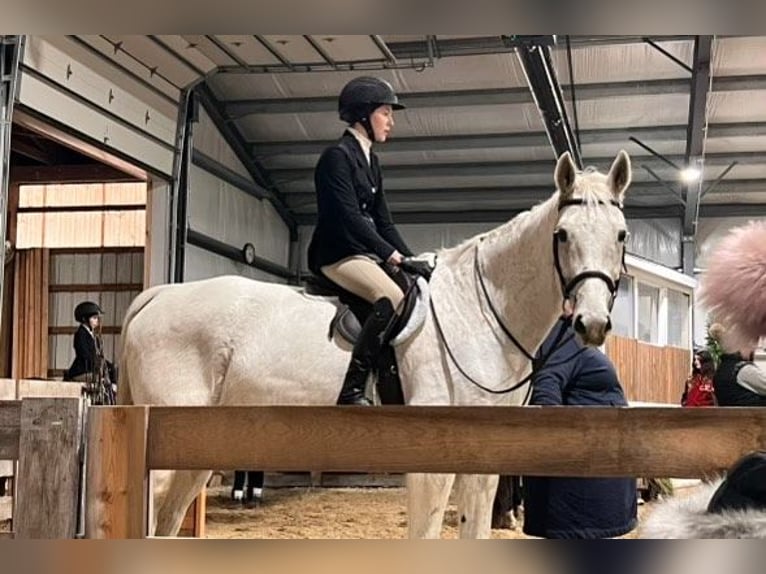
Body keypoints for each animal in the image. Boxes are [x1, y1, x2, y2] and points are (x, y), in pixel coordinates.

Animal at [120, 151, 632, 536]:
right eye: (562, 235)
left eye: (621, 235)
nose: (591, 323)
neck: (478, 313)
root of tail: (160, 295)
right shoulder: (432, 465)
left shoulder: (483, 466)